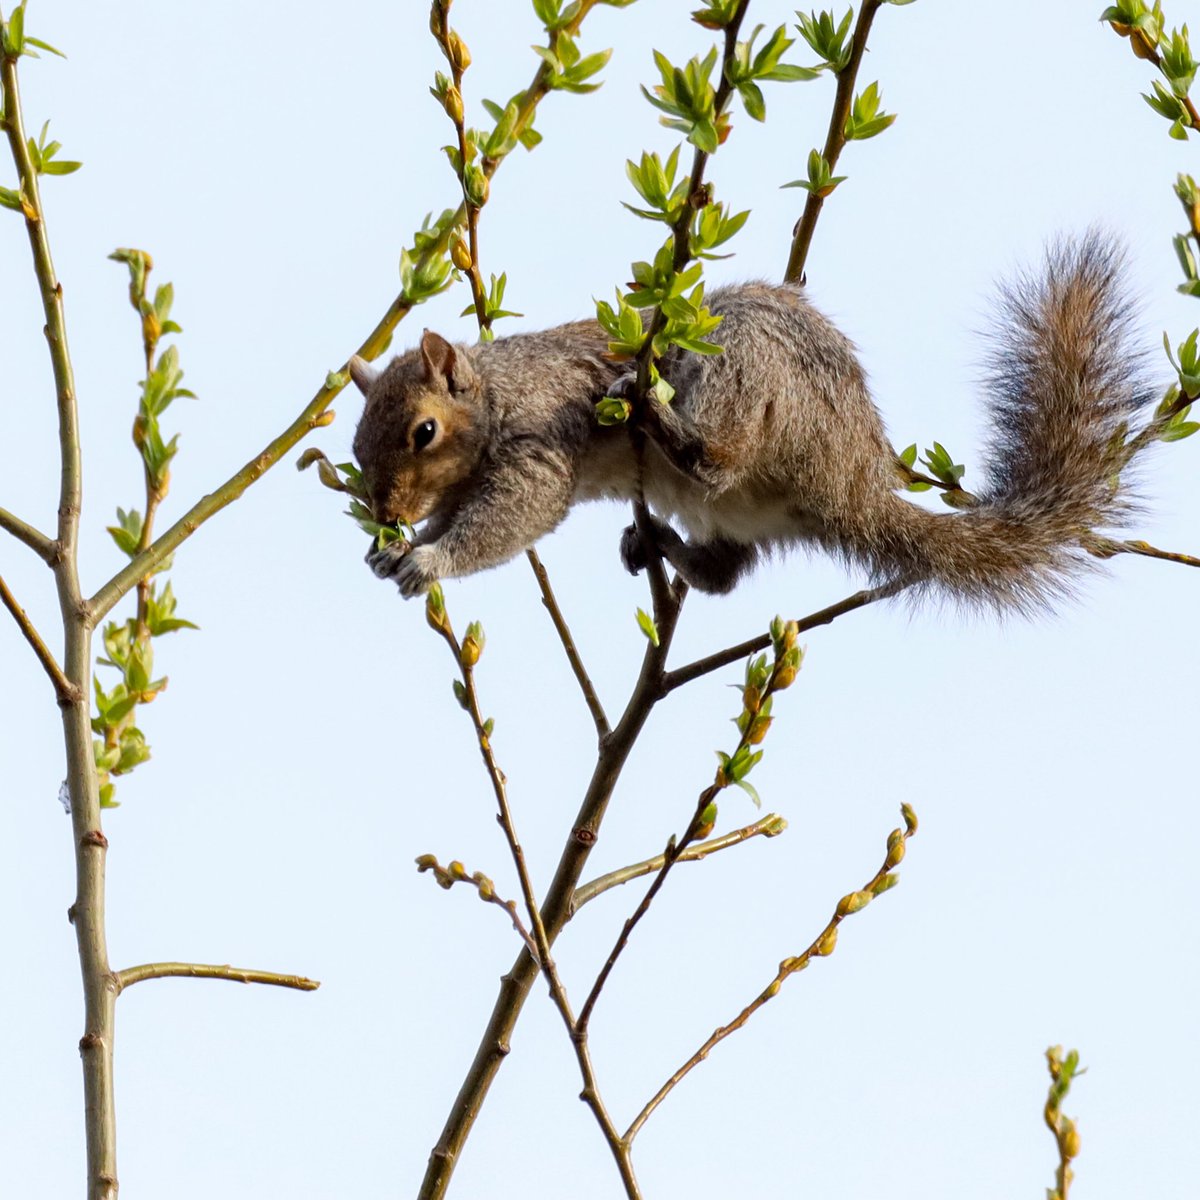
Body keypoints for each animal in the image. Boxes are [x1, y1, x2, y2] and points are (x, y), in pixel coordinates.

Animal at [350, 234, 1152, 609]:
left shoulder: (539, 439)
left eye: (424, 432)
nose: (385, 514)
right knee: (725, 575)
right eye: (356, 445)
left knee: (721, 458)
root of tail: (852, 480)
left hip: (743, 365)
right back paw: (661, 544)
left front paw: (429, 559)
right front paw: (395, 550)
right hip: (740, 515)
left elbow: (515, 513)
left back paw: (662, 421)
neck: (499, 392)